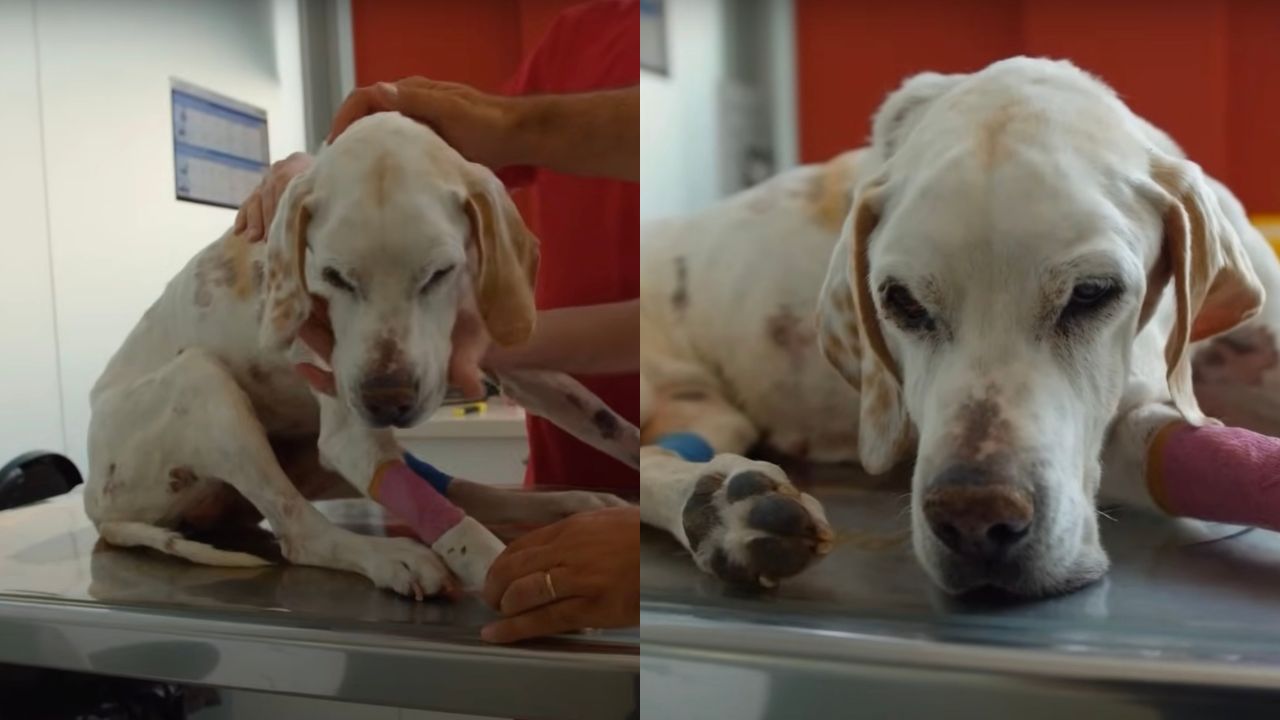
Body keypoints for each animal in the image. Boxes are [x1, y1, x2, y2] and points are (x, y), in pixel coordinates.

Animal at [85, 112, 634, 594]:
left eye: (439, 272)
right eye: (334, 277)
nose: (386, 401)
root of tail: (95, 504)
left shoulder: (509, 354)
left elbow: (607, 423)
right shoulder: (349, 432)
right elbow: (474, 545)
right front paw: (510, 571)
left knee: (450, 487)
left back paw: (568, 504)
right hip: (202, 383)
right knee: (301, 533)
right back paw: (391, 558)